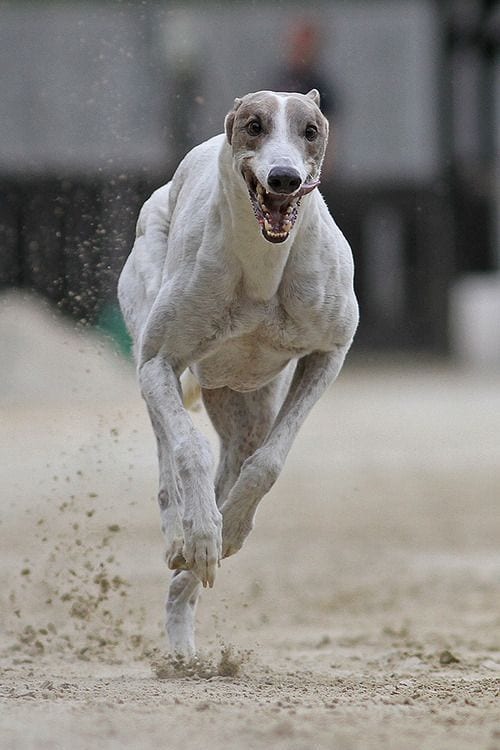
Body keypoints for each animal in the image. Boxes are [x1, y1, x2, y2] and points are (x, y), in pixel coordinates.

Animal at [118, 89, 360, 656]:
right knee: (169, 454)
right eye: (254, 125)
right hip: (151, 355)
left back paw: (184, 627)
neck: (262, 266)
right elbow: (187, 449)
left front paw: (228, 531)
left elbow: (267, 463)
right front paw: (204, 532)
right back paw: (184, 535)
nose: (284, 178)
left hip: (246, 406)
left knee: (236, 454)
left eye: (310, 130)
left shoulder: (330, 353)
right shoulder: (159, 362)